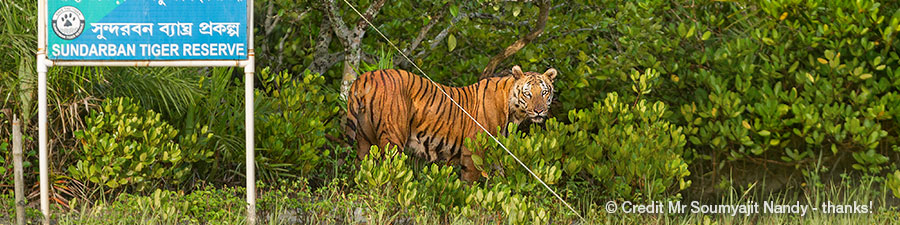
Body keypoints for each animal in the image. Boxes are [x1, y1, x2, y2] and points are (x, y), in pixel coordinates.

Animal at [344, 65, 556, 181]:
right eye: (528, 93)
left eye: (544, 92)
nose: (539, 110)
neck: (512, 112)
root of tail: (366, 76)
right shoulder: (474, 150)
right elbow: (470, 183)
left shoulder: (496, 150)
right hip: (393, 139)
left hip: (365, 141)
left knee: (361, 170)